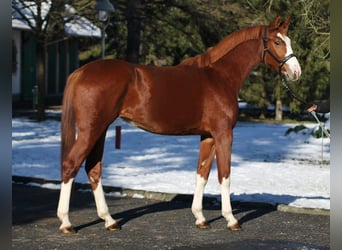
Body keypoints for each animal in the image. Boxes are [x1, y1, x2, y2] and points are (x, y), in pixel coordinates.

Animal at [57, 16, 300, 233]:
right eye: (278, 42)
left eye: (288, 40)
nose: (296, 72)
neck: (221, 77)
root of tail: (80, 72)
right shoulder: (223, 134)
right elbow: (224, 175)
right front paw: (231, 219)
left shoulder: (208, 136)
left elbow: (202, 173)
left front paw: (200, 218)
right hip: (91, 130)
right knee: (71, 164)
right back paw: (67, 222)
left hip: (100, 130)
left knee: (93, 169)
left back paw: (109, 221)